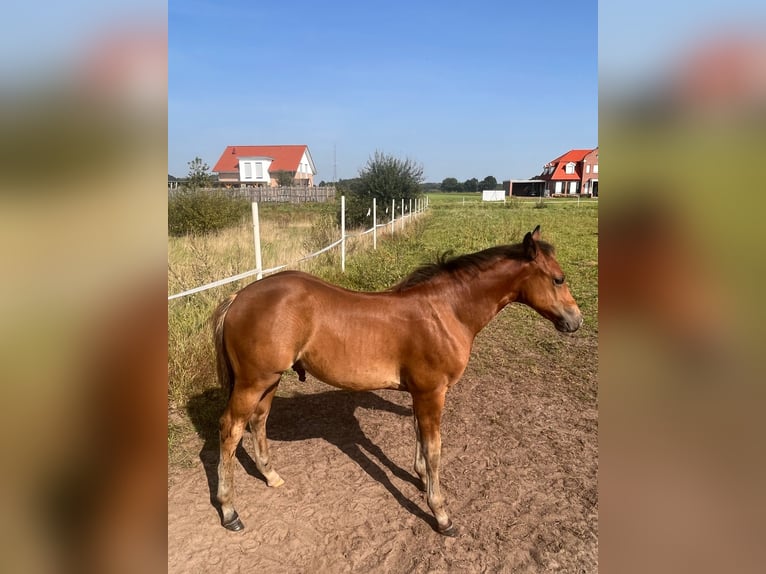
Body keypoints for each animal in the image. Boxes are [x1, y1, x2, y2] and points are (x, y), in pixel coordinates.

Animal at [211, 225, 582, 536]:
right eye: (559, 279)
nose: (575, 321)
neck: (446, 311)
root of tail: (237, 298)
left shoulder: (421, 393)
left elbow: (419, 435)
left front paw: (420, 478)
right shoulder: (432, 392)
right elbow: (434, 449)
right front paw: (441, 513)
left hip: (269, 381)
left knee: (258, 421)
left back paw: (271, 476)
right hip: (252, 382)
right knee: (230, 429)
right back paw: (229, 512)